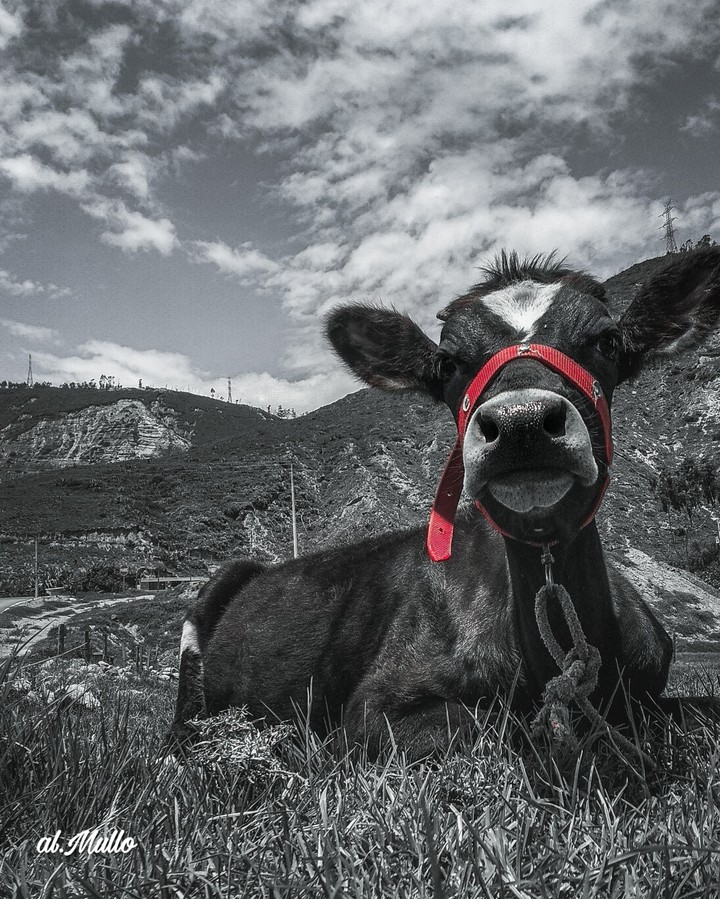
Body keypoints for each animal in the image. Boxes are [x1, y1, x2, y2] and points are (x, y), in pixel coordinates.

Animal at [171, 248, 720, 759]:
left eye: (606, 340)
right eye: (450, 362)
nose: (522, 421)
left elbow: (700, 710)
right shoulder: (371, 713)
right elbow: (499, 727)